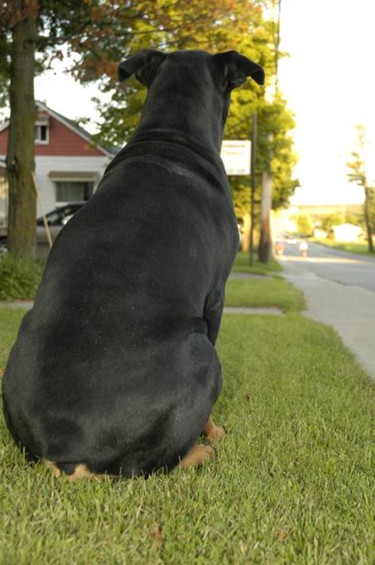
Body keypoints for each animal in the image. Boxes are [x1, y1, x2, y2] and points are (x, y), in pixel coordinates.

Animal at [2, 49, 264, 480]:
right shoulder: (216, 298)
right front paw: (214, 432)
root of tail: (66, 457)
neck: (170, 135)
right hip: (203, 356)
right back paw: (201, 452)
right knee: (150, 464)